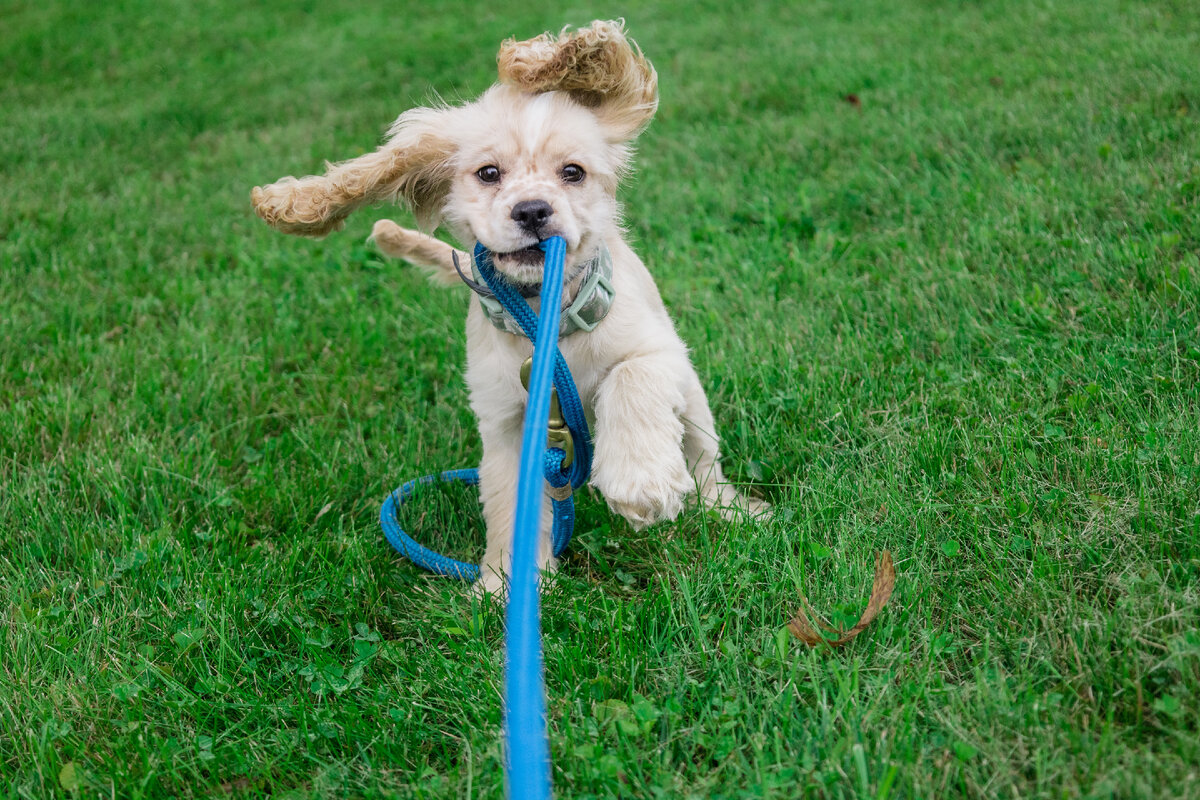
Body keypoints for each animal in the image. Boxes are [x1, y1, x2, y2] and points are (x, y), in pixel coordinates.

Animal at [250, 20, 768, 594]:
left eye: (573, 172)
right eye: (488, 173)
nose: (533, 211)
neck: (545, 316)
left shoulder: (662, 351)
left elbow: (630, 378)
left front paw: (640, 480)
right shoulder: (506, 423)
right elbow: (508, 504)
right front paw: (504, 584)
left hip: (695, 408)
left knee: (704, 467)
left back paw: (731, 509)